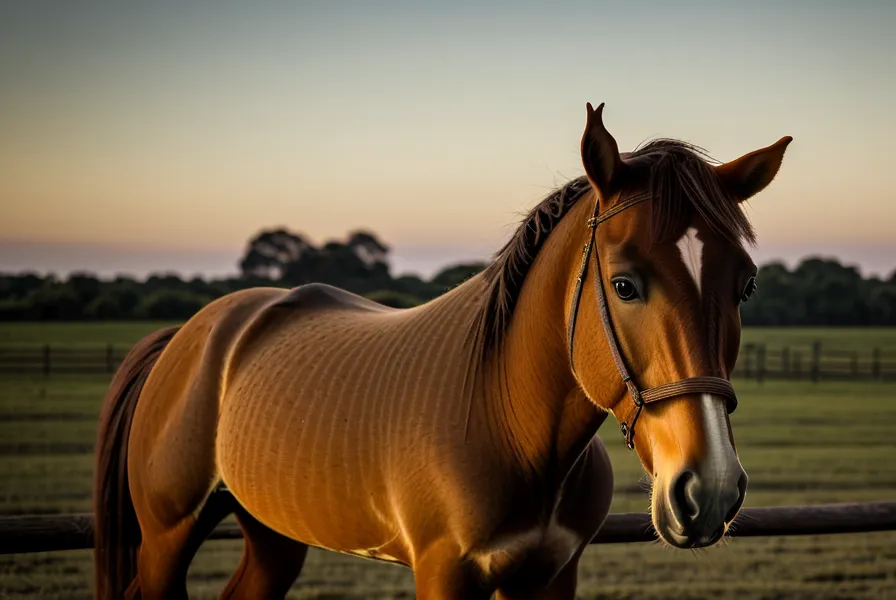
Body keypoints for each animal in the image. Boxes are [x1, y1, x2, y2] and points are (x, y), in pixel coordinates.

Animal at [93, 102, 792, 599]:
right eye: (624, 284)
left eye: (746, 285)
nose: (709, 489)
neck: (508, 421)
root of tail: (193, 335)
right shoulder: (446, 577)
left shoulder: (550, 577)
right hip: (167, 538)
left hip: (272, 536)